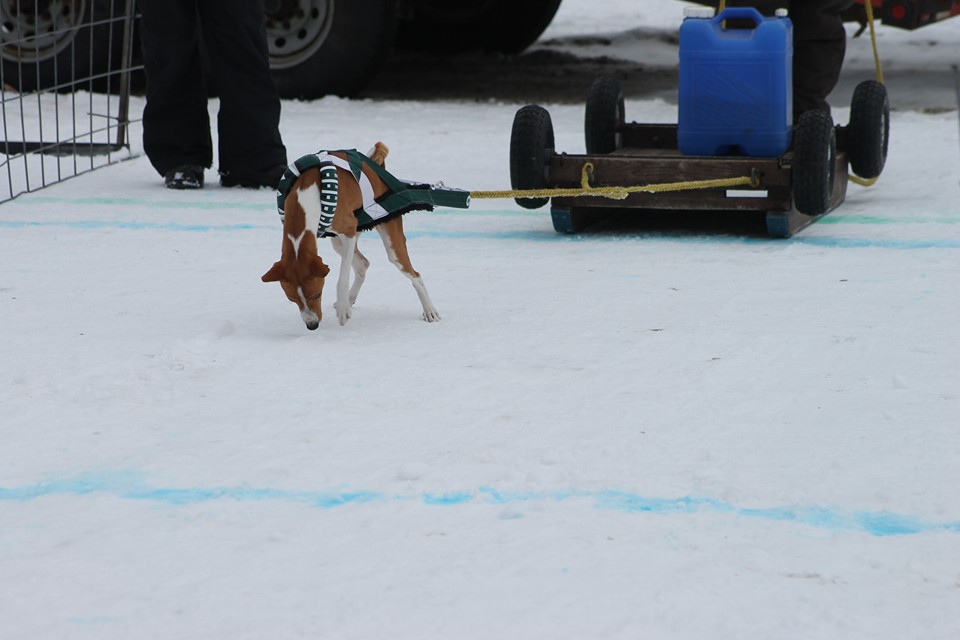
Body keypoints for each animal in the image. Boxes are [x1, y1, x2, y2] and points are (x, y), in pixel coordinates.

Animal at [262, 144, 442, 330]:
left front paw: (343, 309)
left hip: (392, 245)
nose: (312, 325)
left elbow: (342, 277)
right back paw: (350, 299)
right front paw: (344, 304)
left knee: (415, 276)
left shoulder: (348, 232)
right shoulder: (345, 236)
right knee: (363, 265)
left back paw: (429, 310)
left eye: (317, 294)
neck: (308, 196)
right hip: (339, 241)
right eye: (292, 299)